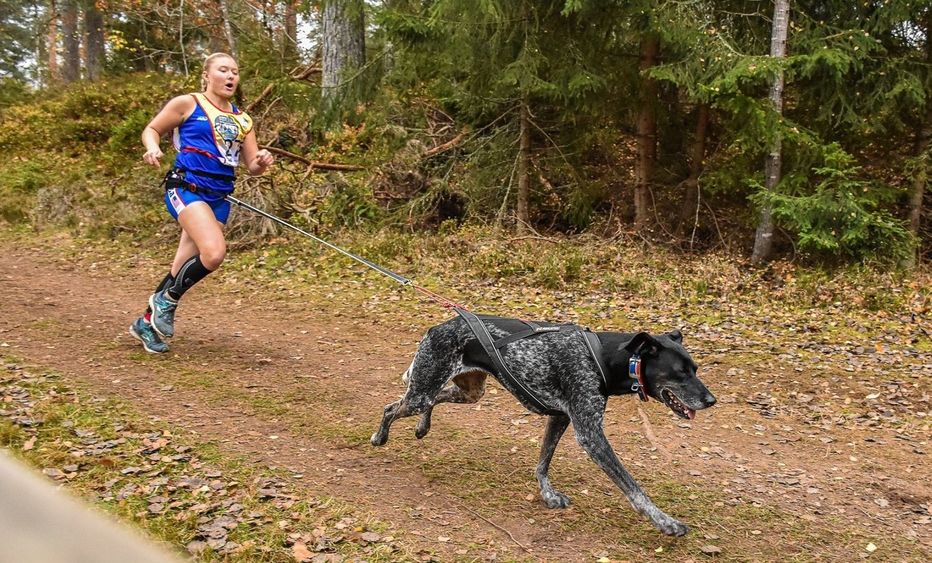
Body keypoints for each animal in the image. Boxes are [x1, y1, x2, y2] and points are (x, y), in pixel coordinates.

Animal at [368, 312, 716, 536]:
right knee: (391, 406)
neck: (602, 358)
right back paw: (379, 436)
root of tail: (438, 327)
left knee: (430, 400)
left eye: (696, 369)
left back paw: (422, 427)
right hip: (422, 393)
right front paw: (664, 521)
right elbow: (633, 487)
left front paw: (547, 495)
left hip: (468, 392)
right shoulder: (590, 434)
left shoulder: (560, 418)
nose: (711, 400)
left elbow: (542, 463)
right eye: (680, 373)